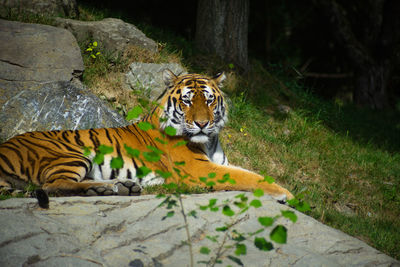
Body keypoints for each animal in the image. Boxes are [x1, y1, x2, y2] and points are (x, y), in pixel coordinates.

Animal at [0, 69, 294, 203]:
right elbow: (249, 177)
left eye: (210, 100)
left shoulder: (219, 163)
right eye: (188, 101)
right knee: (51, 185)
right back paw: (104, 188)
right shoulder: (200, 170)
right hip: (71, 154)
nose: (202, 124)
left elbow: (252, 172)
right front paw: (287, 195)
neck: (209, 142)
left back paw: (121, 186)